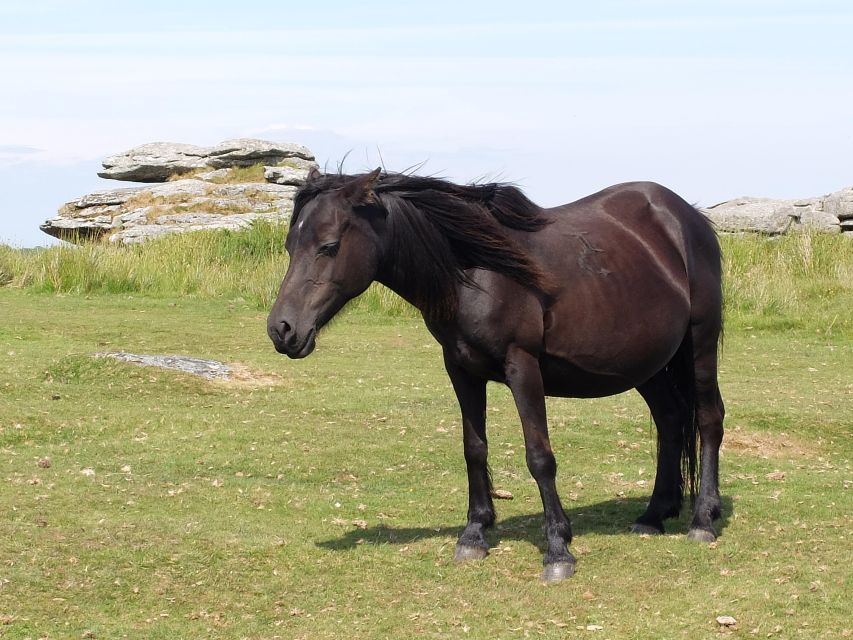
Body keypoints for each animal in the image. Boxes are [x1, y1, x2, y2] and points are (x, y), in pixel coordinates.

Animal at [270, 170, 724, 580]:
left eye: (329, 246)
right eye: (291, 245)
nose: (281, 329)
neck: (477, 273)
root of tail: (686, 217)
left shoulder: (522, 366)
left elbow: (539, 457)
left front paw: (558, 548)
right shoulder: (460, 369)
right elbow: (474, 449)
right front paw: (474, 534)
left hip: (699, 344)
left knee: (708, 420)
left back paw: (703, 519)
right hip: (646, 364)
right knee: (670, 421)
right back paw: (654, 514)